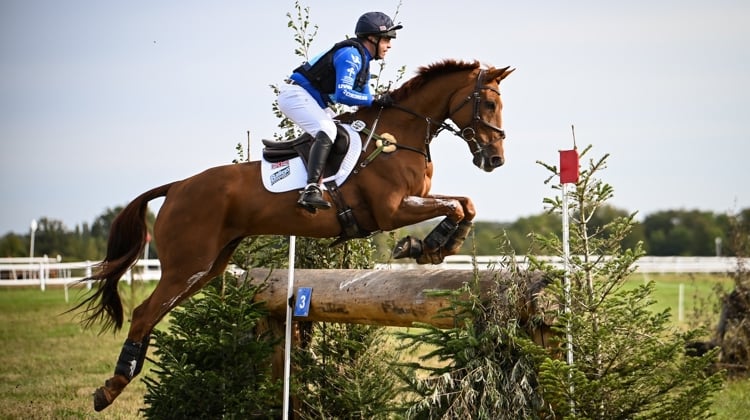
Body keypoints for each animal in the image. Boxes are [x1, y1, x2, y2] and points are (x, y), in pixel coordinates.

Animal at [76, 59, 516, 410]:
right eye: (489, 104)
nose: (495, 160)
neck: (398, 136)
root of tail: (178, 186)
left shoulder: (414, 200)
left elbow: (465, 204)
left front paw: (433, 245)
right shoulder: (390, 210)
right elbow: (455, 206)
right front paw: (425, 246)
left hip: (208, 267)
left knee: (152, 313)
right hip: (187, 264)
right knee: (144, 313)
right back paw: (110, 388)